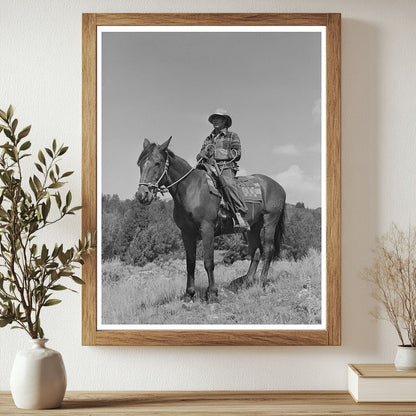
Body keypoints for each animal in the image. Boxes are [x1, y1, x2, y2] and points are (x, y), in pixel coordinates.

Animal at [137, 137, 286, 302]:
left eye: (157, 163)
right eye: (140, 164)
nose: (142, 195)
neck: (191, 189)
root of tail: (278, 186)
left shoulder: (207, 229)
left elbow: (209, 262)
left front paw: (212, 293)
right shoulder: (186, 234)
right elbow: (190, 263)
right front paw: (189, 294)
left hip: (270, 221)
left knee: (268, 250)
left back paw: (261, 282)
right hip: (252, 227)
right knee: (256, 250)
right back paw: (247, 282)